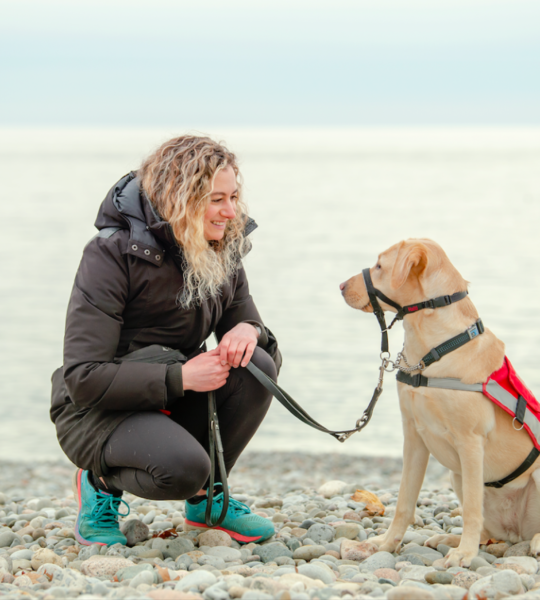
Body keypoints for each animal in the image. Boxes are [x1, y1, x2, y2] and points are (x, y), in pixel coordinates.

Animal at [340, 239, 540, 568]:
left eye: (380, 266)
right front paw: (386, 543)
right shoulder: (413, 438)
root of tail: (516, 533)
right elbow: (404, 501)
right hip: (455, 474)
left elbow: (470, 509)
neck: (434, 351)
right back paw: (450, 540)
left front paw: (465, 554)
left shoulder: (470, 443)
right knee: (488, 531)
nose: (341, 285)